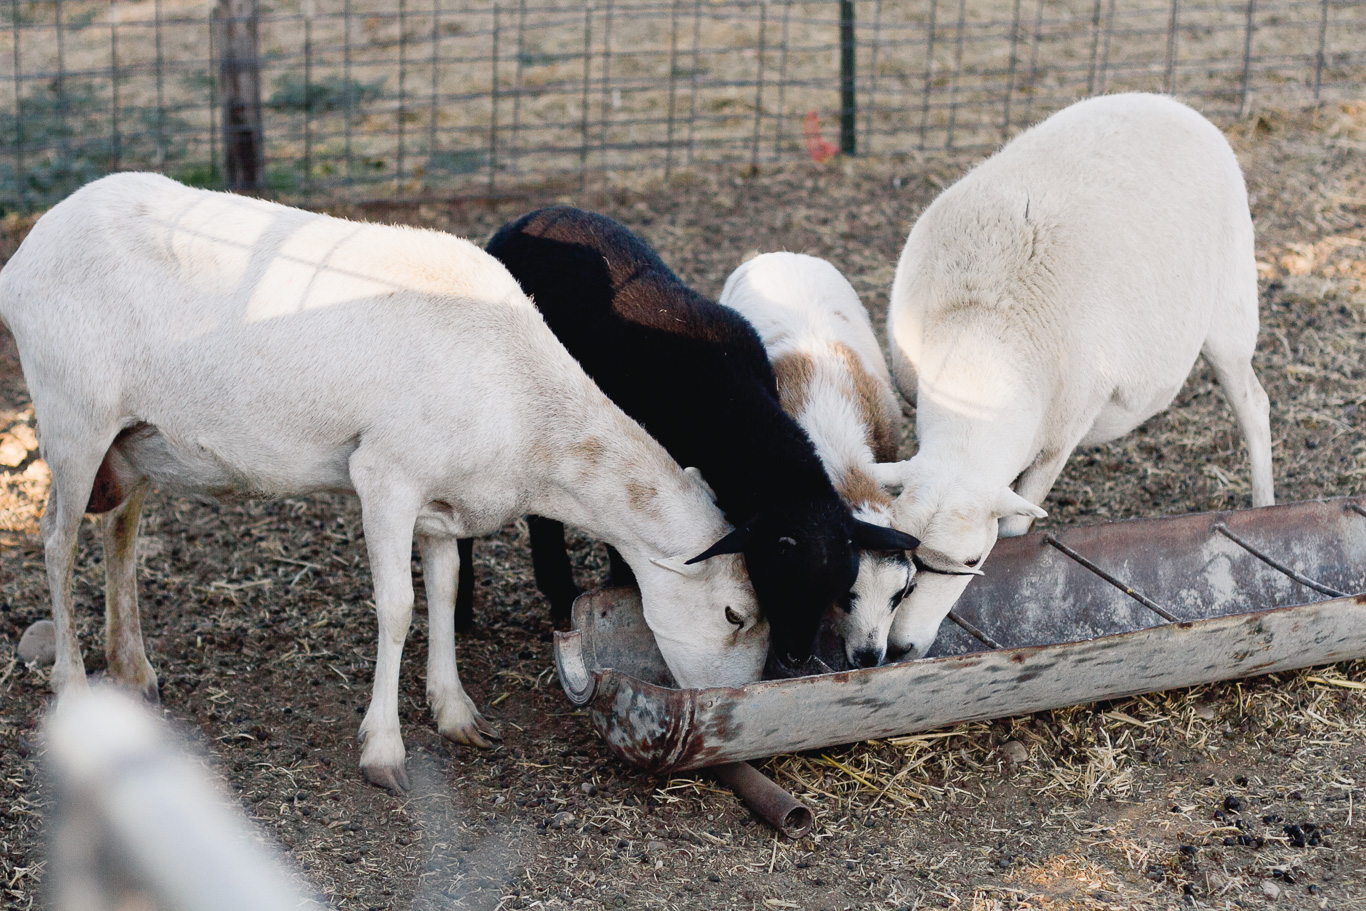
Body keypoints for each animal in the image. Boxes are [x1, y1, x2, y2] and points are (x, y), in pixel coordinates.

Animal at [0, 172, 770, 792]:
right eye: (736, 614)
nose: (730, 713)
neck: (533, 418)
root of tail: (30, 249)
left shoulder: (441, 500)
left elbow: (446, 590)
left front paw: (457, 713)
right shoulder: (384, 476)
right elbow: (398, 608)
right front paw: (384, 749)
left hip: (135, 438)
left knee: (120, 533)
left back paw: (133, 670)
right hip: (74, 417)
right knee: (57, 542)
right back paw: (74, 685)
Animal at [879, 92, 1273, 658]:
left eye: (973, 561)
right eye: (904, 552)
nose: (901, 649)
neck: (986, 335)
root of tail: (1167, 100)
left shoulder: (1060, 436)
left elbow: (1018, 523)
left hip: (1231, 311)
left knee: (1253, 405)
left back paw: (1262, 506)